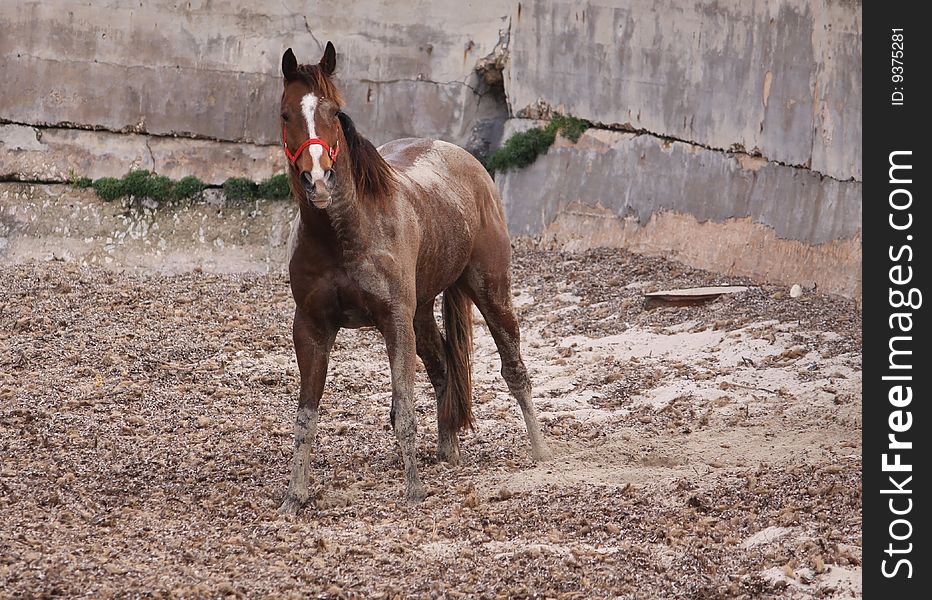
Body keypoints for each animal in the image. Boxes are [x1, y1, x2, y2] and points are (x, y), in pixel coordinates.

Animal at [278, 42, 552, 512]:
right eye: (286, 115)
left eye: (335, 111)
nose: (318, 180)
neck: (345, 234)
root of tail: (467, 161)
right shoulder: (311, 327)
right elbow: (306, 414)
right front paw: (295, 497)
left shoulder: (394, 322)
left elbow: (403, 407)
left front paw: (414, 490)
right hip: (423, 311)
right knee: (442, 365)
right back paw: (447, 448)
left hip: (491, 292)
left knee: (514, 370)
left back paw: (539, 452)